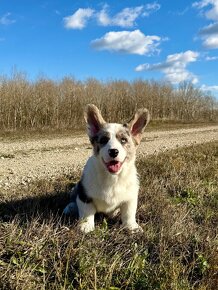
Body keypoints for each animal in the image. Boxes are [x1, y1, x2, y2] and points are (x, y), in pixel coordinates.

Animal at [63, 104, 150, 233]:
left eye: (123, 140)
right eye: (104, 140)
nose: (113, 151)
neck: (112, 178)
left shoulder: (130, 197)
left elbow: (129, 213)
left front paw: (132, 227)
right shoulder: (84, 195)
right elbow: (87, 212)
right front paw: (85, 226)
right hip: (77, 187)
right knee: (73, 200)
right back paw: (70, 207)